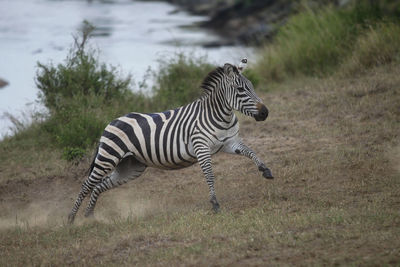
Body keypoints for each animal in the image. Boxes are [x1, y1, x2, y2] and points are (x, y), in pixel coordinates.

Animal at [68, 58, 272, 224]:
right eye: (241, 89)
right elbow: (209, 175)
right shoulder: (201, 147)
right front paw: (215, 203)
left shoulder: (229, 143)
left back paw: (90, 216)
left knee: (99, 185)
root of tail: (111, 122)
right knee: (87, 185)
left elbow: (250, 151)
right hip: (107, 158)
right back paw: (71, 219)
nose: (265, 113)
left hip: (131, 167)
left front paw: (265, 170)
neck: (222, 115)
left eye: (252, 86)